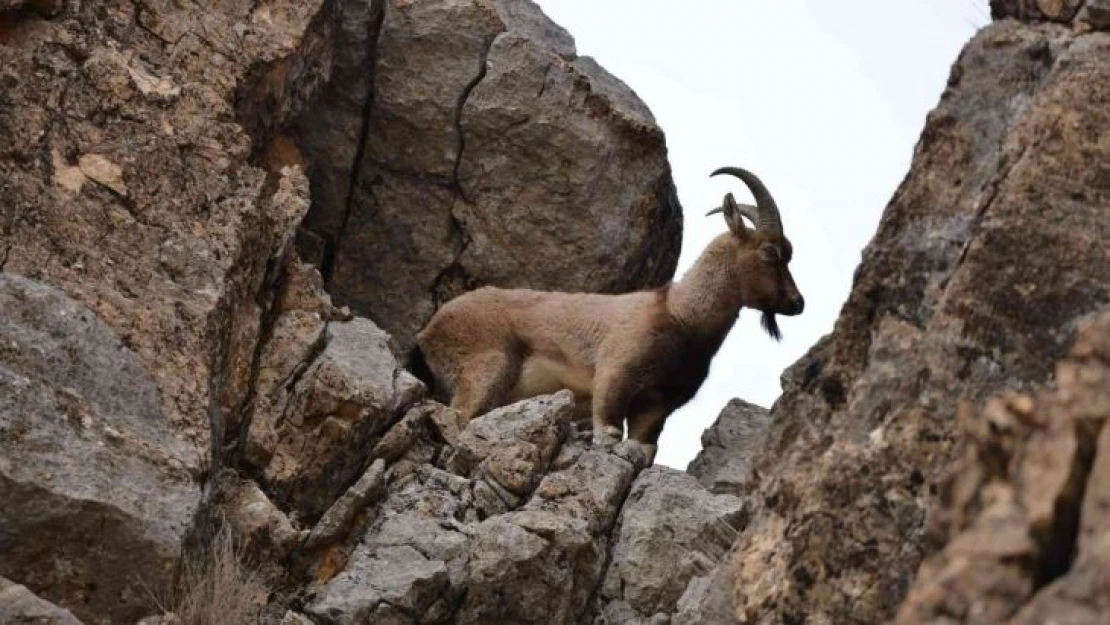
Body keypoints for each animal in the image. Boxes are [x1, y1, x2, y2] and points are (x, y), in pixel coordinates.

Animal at [412, 166, 803, 464]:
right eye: (770, 251)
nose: (796, 303)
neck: (682, 316)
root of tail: (428, 331)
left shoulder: (656, 406)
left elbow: (645, 447)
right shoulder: (615, 376)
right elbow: (609, 432)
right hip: (487, 366)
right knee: (459, 414)